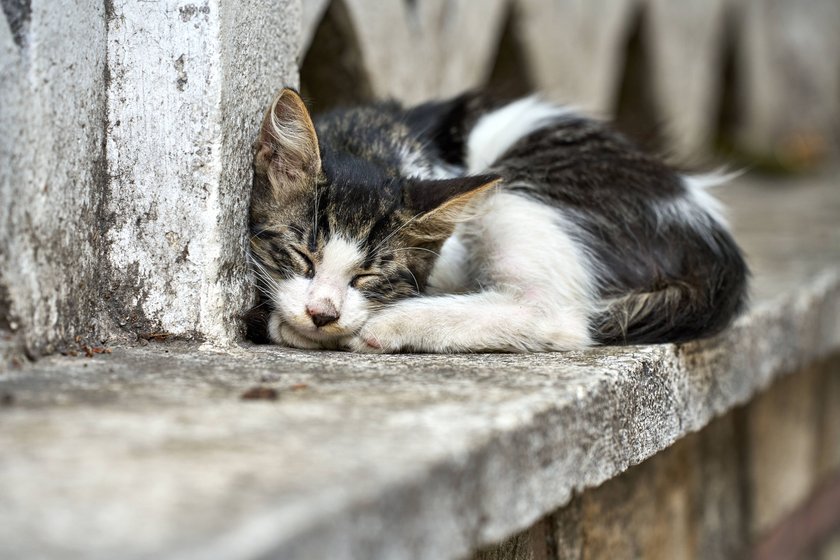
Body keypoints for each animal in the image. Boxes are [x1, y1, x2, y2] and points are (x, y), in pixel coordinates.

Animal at [244, 88, 748, 352]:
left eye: (368, 276)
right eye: (300, 256)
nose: (322, 313)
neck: (372, 144)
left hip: (518, 193)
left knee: (554, 316)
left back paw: (387, 327)